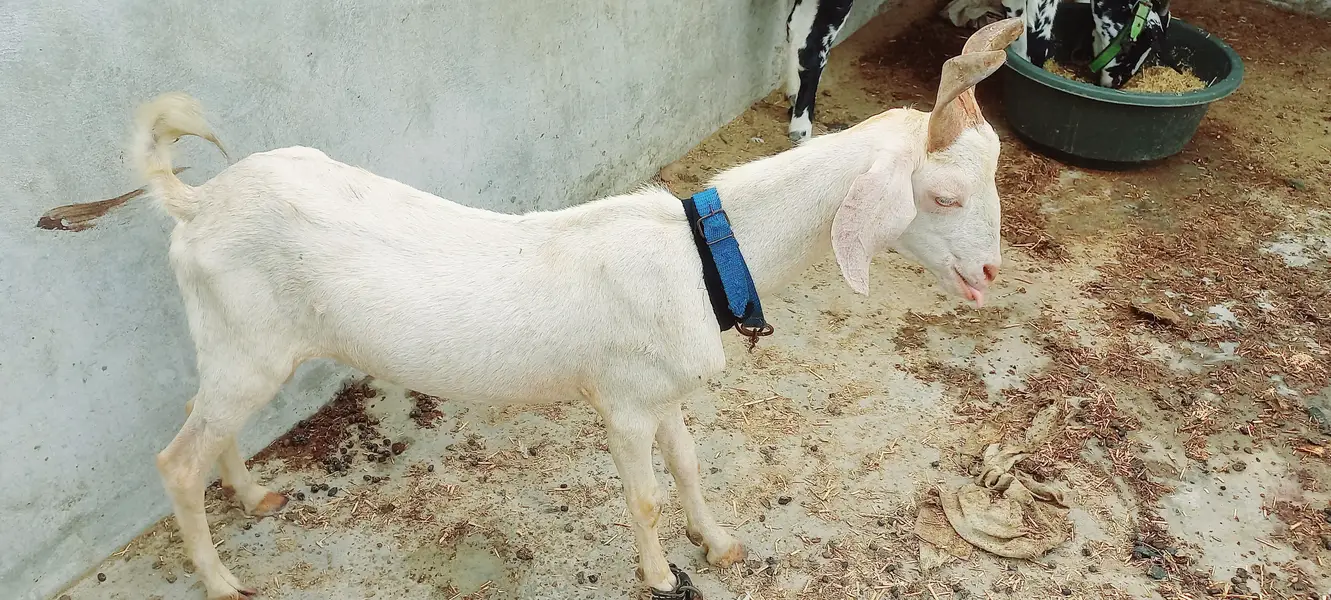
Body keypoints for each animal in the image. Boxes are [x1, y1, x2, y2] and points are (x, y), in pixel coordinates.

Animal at [132, 18, 1021, 599]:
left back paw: (253, 497)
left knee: (205, 423)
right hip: (248, 347)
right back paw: (222, 581)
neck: (700, 257)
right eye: (943, 195)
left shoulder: (664, 392)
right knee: (174, 460)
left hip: (244, 346)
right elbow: (645, 496)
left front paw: (719, 544)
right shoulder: (622, 403)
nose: (987, 271)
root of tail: (197, 204)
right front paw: (661, 576)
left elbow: (689, 467)